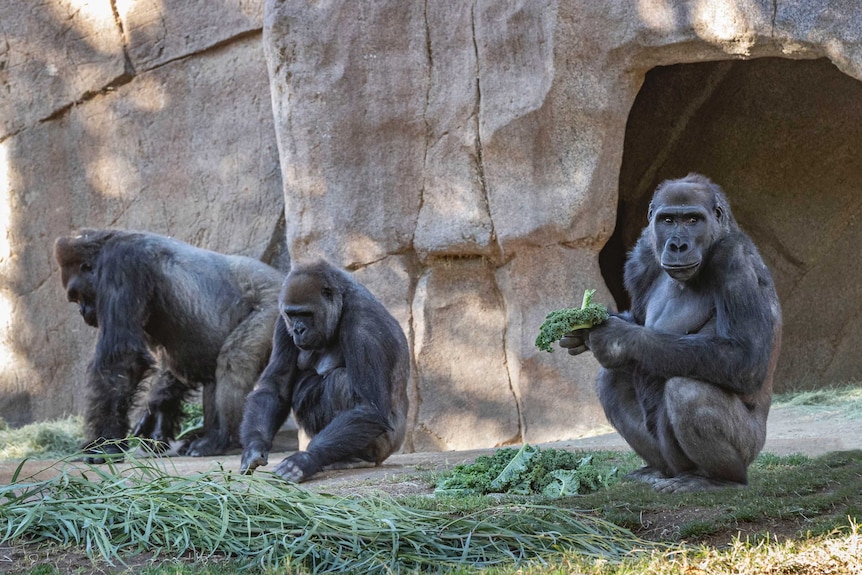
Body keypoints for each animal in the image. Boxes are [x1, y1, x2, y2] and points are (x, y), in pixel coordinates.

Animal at [54, 230, 284, 464]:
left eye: (77, 295)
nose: (83, 312)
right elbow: (172, 365)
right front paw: (157, 412)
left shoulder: (121, 263)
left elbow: (123, 360)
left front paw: (105, 443)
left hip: (274, 305)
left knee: (234, 360)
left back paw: (221, 437)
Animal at [238, 260, 410, 482]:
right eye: (292, 314)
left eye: (306, 314)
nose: (298, 330)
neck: (342, 302)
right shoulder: (282, 323)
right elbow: (275, 387)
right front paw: (253, 447)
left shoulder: (364, 325)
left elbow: (368, 407)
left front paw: (306, 459)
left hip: (386, 446)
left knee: (340, 381)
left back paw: (357, 458)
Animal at [560, 174, 784, 496]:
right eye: (668, 220)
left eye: (693, 219)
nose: (677, 244)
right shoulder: (642, 257)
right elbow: (638, 320)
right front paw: (584, 329)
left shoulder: (734, 257)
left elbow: (745, 355)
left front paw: (617, 338)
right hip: (668, 459)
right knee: (611, 380)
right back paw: (656, 470)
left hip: (751, 446)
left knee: (687, 391)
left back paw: (719, 479)